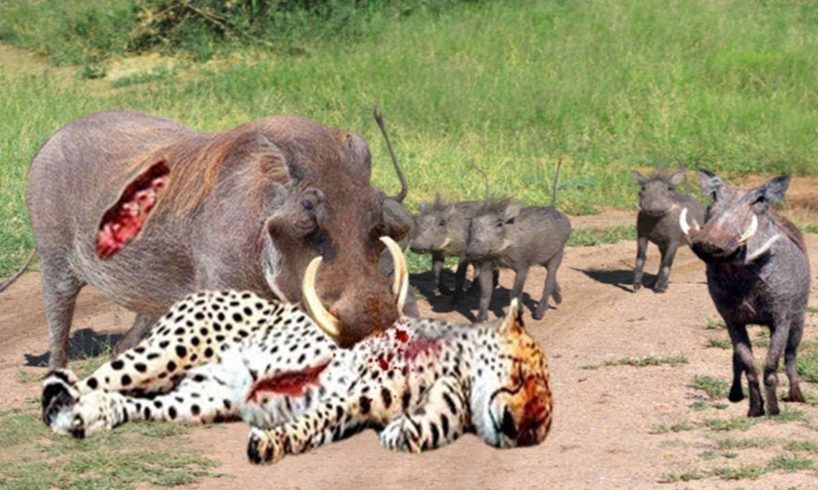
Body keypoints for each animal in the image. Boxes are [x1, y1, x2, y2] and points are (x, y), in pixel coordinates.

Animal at [42, 245, 553, 465]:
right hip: (168, 350)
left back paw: (92, 416)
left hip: (203, 398)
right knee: (82, 383)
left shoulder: (365, 406)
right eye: (522, 375)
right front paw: (271, 443)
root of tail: (202, 292)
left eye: (543, 411)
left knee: (124, 401)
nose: (524, 426)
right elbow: (316, 416)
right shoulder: (354, 388)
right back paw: (70, 409)